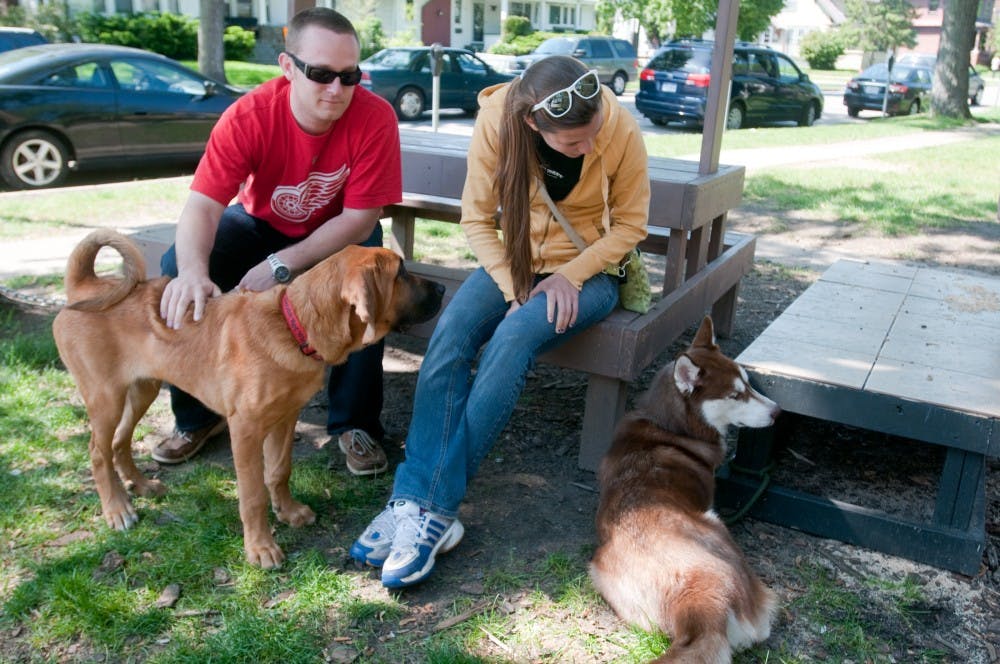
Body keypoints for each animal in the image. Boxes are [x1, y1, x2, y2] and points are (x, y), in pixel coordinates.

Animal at [52, 231, 444, 568]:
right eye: (401, 272)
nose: (442, 287)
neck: (292, 325)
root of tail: (85, 288)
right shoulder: (245, 429)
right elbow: (253, 494)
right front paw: (260, 547)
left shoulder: (285, 418)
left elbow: (279, 471)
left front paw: (288, 512)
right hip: (105, 397)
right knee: (98, 451)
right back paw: (117, 510)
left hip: (141, 388)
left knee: (120, 441)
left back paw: (142, 485)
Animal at [584, 320, 780, 660]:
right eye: (735, 395)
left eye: (748, 383)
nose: (777, 411)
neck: (666, 425)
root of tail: (702, 611)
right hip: (716, 524)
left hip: (598, 572)